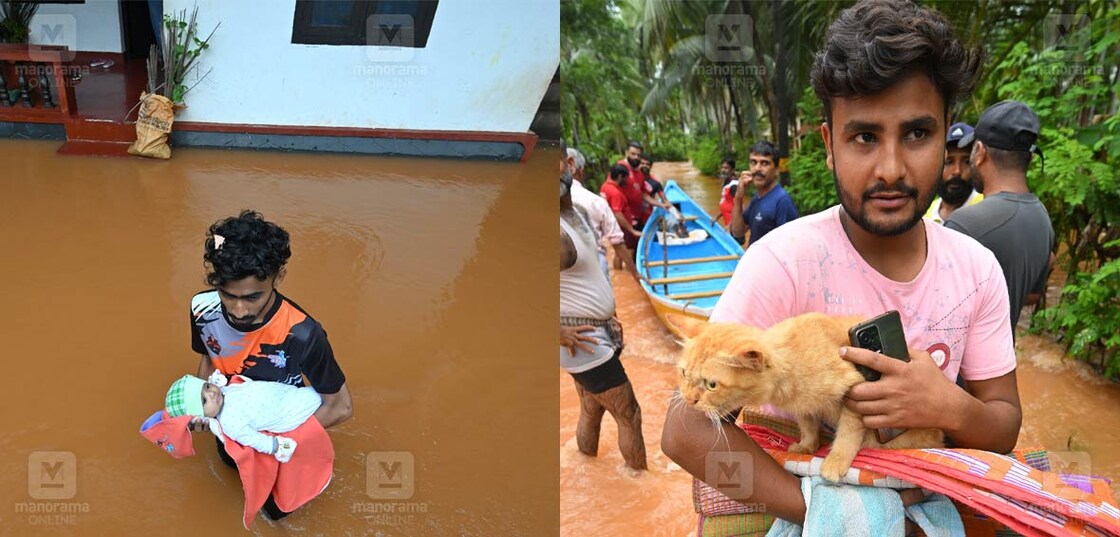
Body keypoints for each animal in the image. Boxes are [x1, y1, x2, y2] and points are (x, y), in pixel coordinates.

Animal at [672, 313, 945, 482]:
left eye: (711, 385)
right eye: (684, 373)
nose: (688, 399)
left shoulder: (856, 390)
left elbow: (848, 433)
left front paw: (835, 461)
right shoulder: (803, 408)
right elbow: (808, 424)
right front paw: (807, 445)